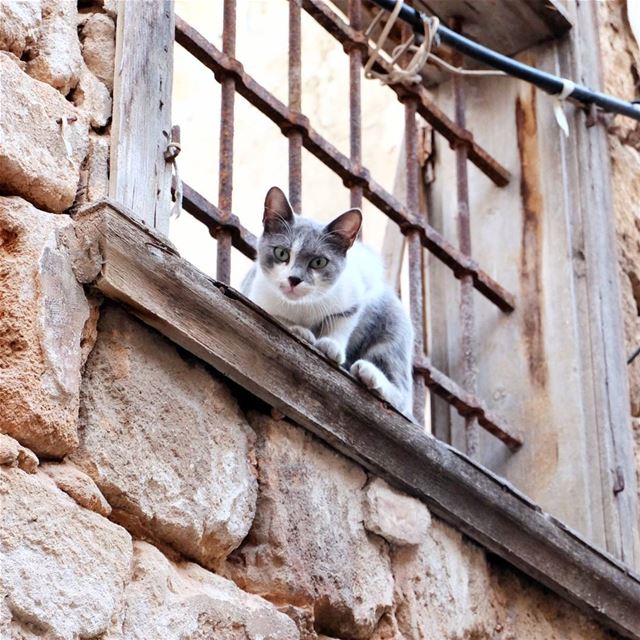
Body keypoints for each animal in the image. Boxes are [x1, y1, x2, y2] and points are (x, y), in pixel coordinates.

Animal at [240, 186, 416, 416]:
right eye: (281, 253)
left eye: (319, 262)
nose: (294, 279)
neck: (302, 306)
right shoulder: (256, 295)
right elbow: (276, 317)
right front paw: (300, 331)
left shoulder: (356, 293)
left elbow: (342, 322)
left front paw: (331, 345)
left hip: (392, 324)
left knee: (402, 396)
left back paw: (369, 373)